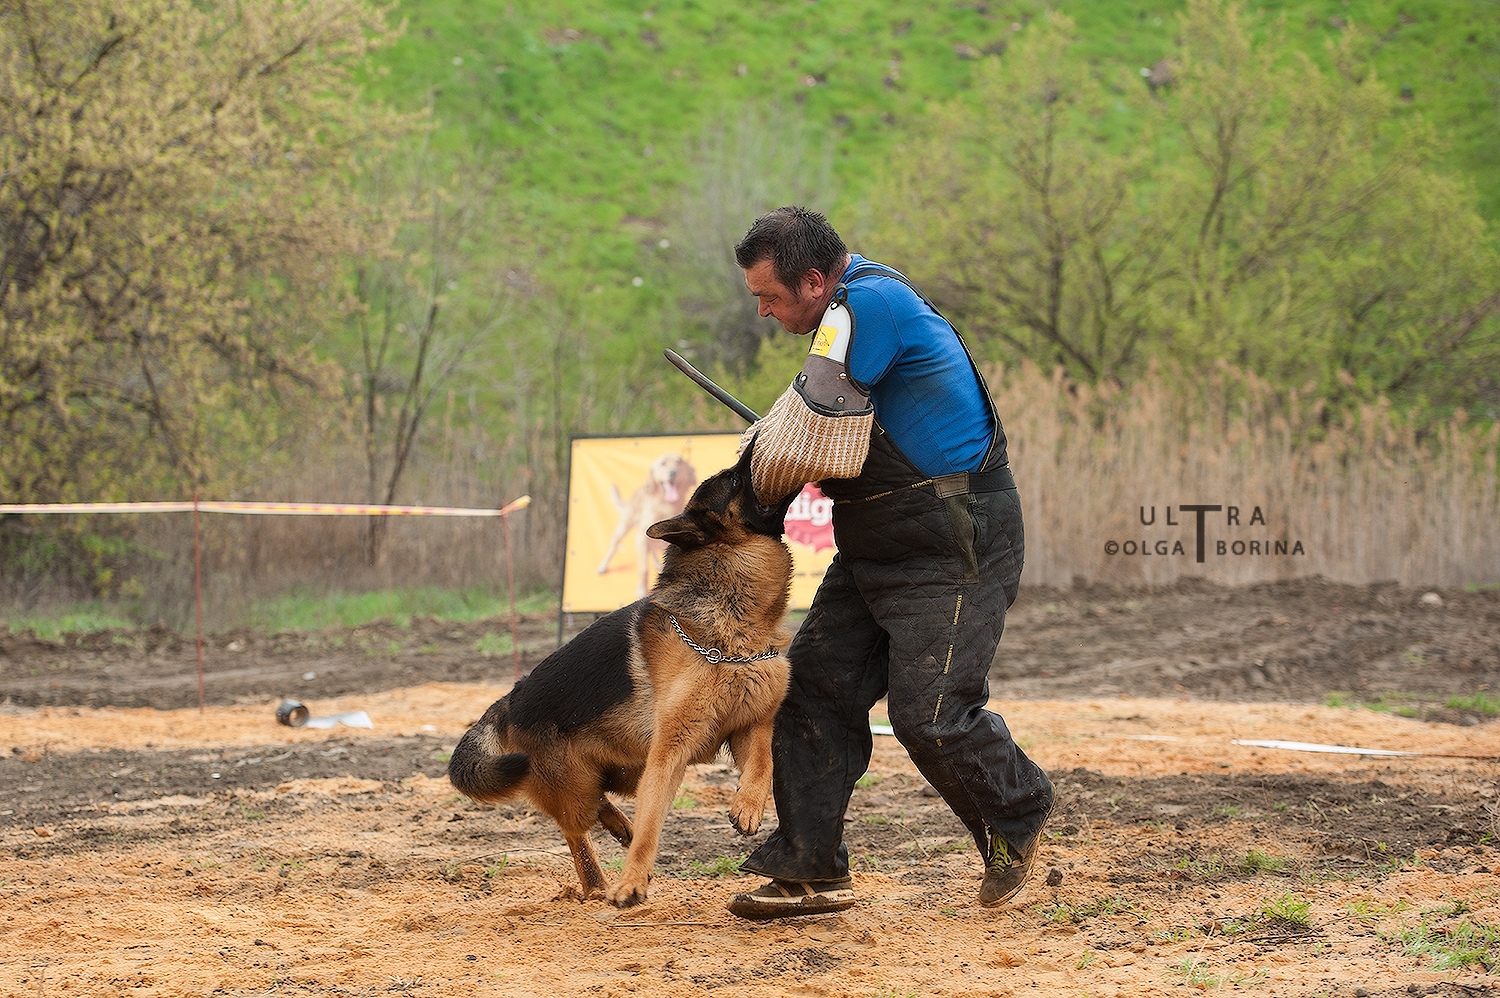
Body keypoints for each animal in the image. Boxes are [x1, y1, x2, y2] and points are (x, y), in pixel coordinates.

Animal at [444, 441, 798, 906]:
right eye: (736, 478)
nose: (754, 441)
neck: (733, 624)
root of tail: (508, 700)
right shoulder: (669, 753)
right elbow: (652, 822)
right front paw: (632, 881)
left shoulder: (749, 725)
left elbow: (764, 763)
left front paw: (749, 805)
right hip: (580, 782)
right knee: (577, 830)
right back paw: (597, 884)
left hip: (623, 769)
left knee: (599, 804)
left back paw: (617, 830)